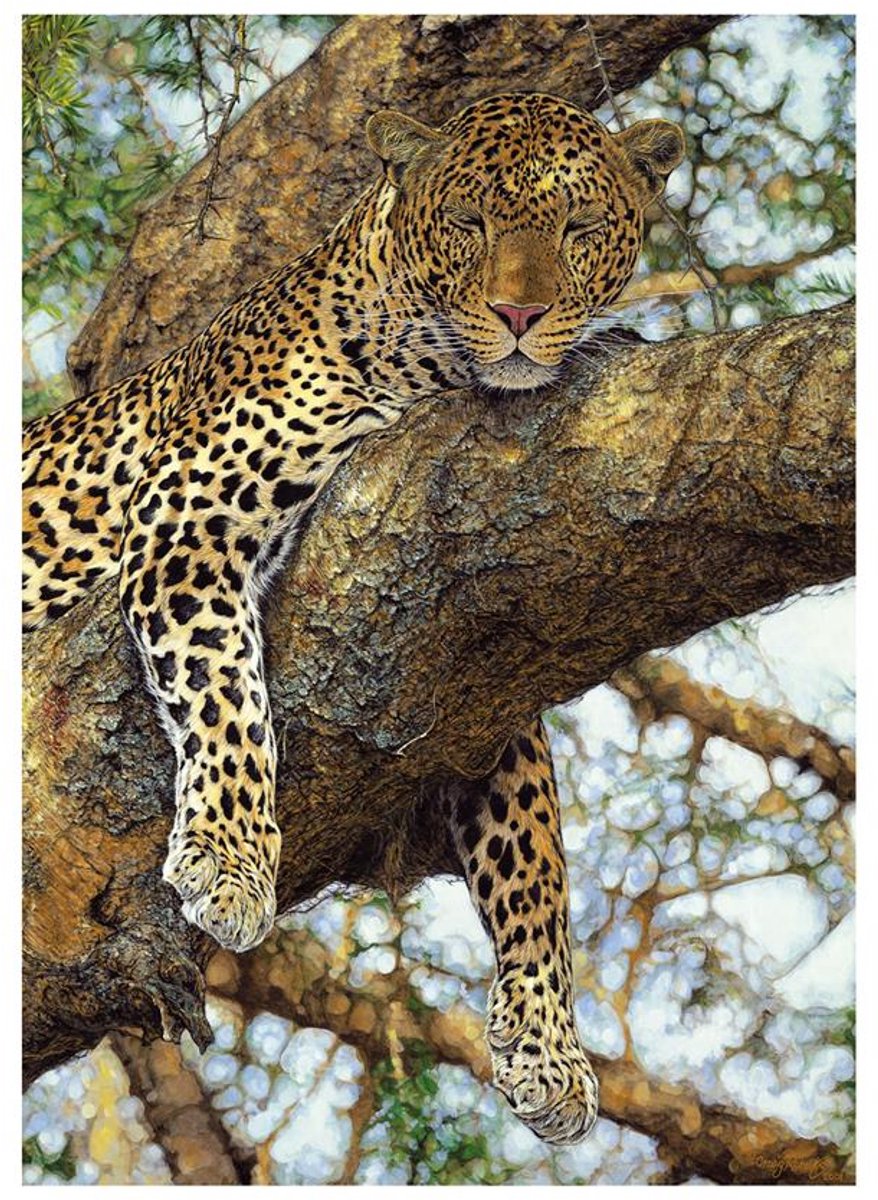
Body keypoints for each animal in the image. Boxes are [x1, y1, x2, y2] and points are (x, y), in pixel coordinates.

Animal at [23, 91, 684, 1144]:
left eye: (579, 229)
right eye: (470, 223)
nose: (521, 316)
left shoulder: (481, 676)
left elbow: (536, 849)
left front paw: (547, 1045)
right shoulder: (185, 516)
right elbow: (228, 698)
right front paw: (229, 863)